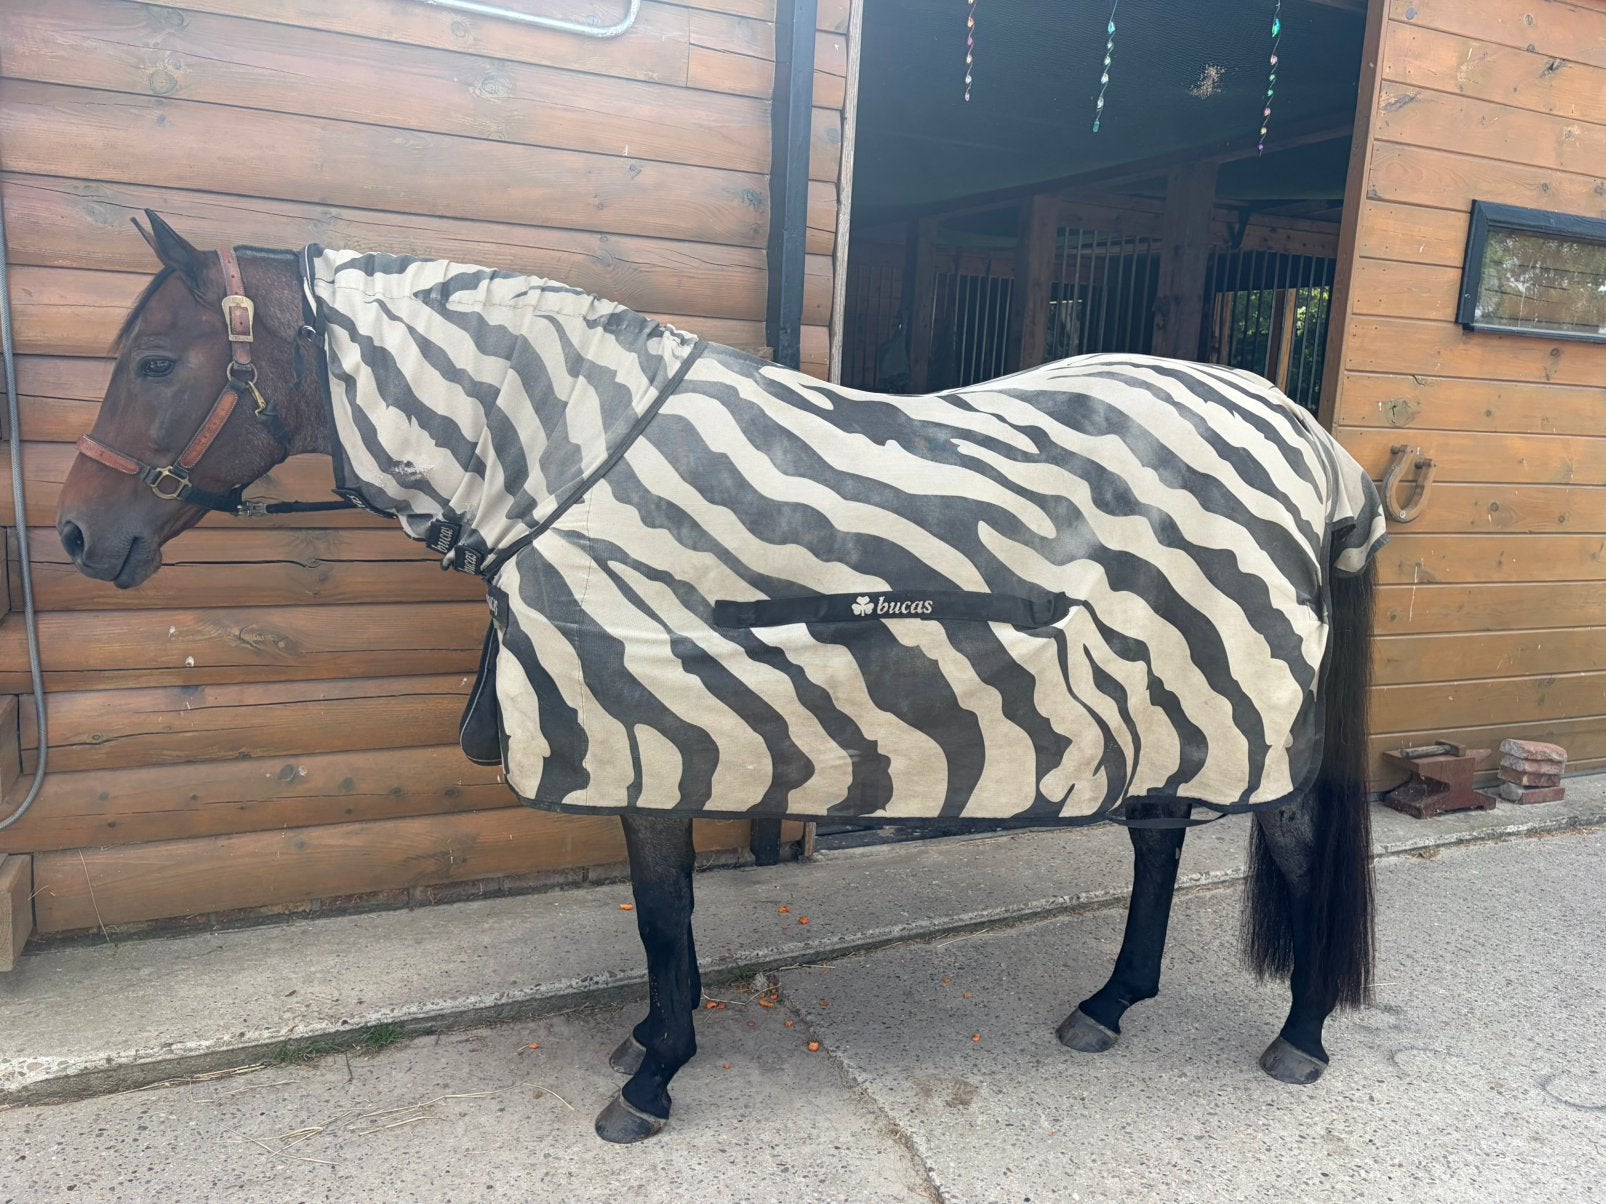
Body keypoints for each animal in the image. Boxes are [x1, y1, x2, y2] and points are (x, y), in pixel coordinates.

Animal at [60, 214, 1386, 1143]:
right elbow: (673, 917)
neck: (558, 469)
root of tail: (1306, 442)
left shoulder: (645, 729)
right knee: (1158, 840)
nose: (77, 537)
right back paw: (1110, 1004)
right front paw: (656, 1036)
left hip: (1236, 706)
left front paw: (653, 1075)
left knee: (1293, 845)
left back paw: (1299, 1036)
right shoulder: (666, 737)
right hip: (1154, 700)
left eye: (158, 362)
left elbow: (659, 914)